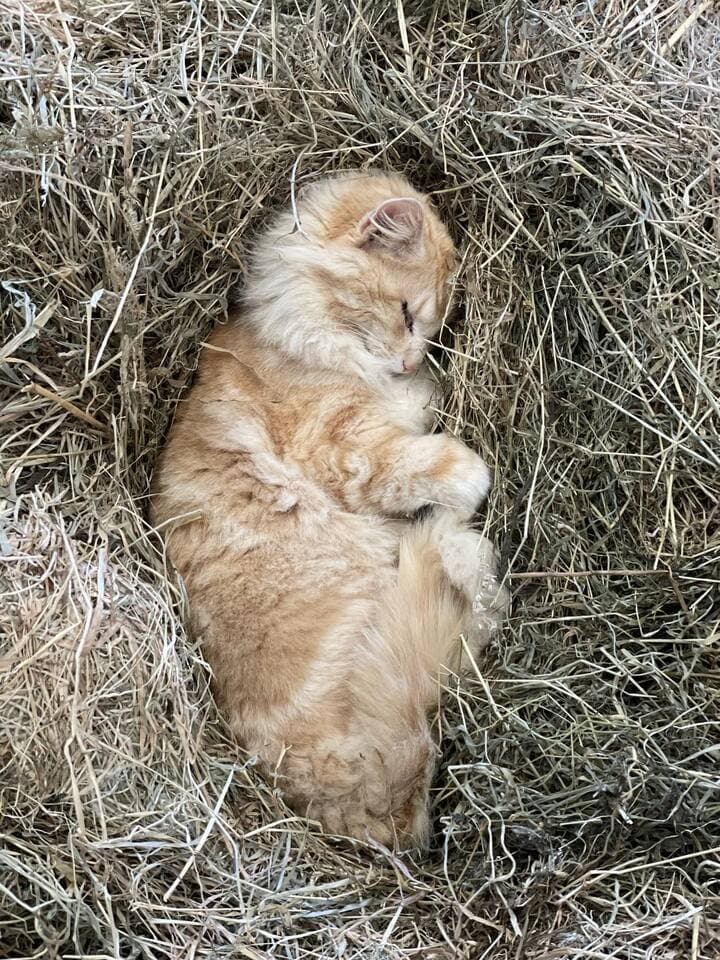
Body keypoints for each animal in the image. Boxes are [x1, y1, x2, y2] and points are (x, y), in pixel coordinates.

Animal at [151, 171, 506, 848]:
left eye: (433, 330)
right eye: (405, 313)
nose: (411, 362)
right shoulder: (345, 451)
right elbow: (433, 466)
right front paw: (473, 479)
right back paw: (456, 541)